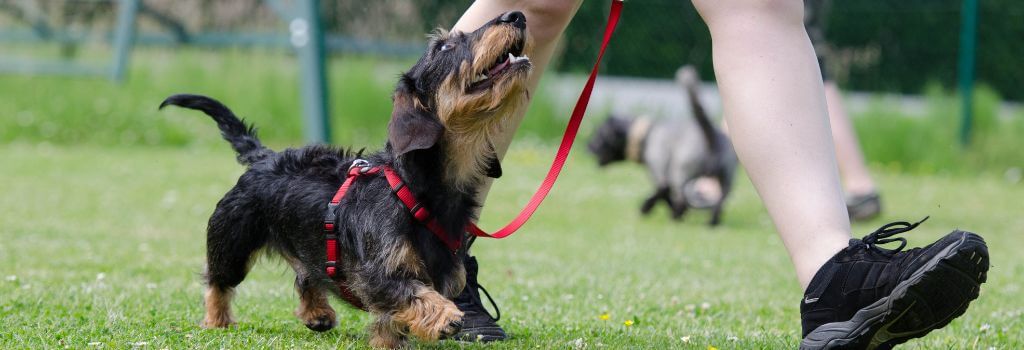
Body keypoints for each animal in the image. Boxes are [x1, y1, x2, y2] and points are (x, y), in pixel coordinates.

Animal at [160, 12, 532, 347]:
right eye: (443, 47)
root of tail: (264, 157)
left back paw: (317, 313)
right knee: (218, 282)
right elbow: (412, 293)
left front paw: (391, 340)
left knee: (306, 275)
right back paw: (217, 320)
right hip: (232, 241)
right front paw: (445, 316)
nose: (516, 15)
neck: (414, 189)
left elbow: (393, 319)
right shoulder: (376, 275)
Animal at [589, 66, 741, 225]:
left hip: (680, 173)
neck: (646, 135)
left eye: (598, 135)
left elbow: (663, 194)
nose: (588, 146)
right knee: (720, 201)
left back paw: (675, 217)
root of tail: (710, 133)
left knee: (681, 198)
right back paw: (712, 222)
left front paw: (646, 208)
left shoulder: (659, 173)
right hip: (726, 178)